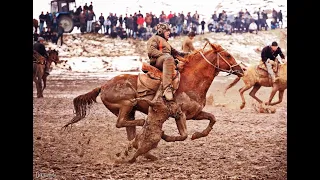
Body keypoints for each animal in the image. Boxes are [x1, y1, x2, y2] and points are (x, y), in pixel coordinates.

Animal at [62, 38, 244, 141]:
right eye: (228, 55)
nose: (241, 69)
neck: (191, 81)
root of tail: (103, 86)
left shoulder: (195, 114)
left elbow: (212, 119)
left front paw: (198, 134)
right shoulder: (181, 114)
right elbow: (183, 135)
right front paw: (166, 135)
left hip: (129, 111)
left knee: (129, 132)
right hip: (127, 104)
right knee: (120, 123)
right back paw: (143, 124)